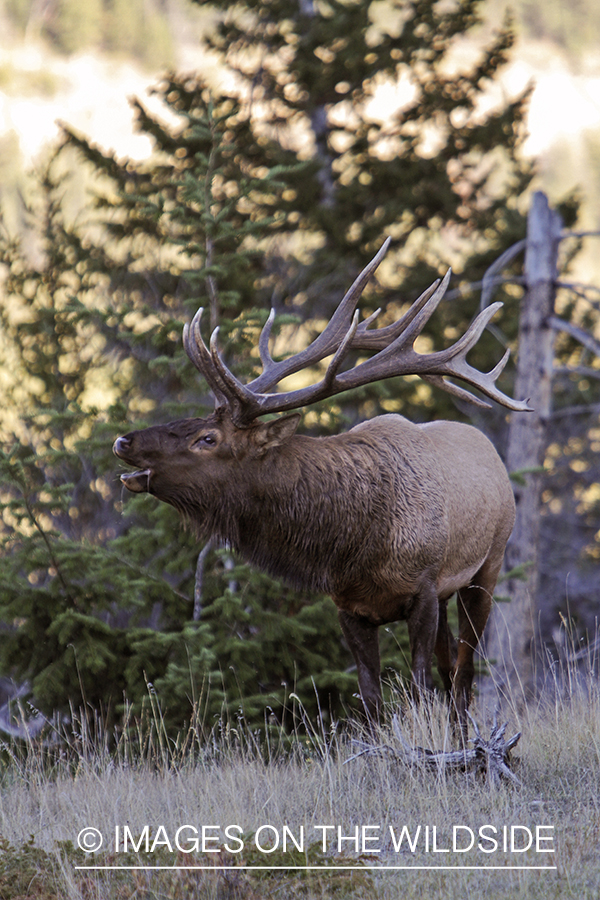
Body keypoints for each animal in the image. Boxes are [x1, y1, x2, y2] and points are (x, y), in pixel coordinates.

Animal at [113, 238, 529, 739]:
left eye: (207, 439)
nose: (124, 441)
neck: (358, 541)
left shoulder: (425, 590)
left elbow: (417, 688)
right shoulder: (349, 606)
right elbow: (371, 702)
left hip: (488, 565)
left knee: (464, 672)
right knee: (452, 671)